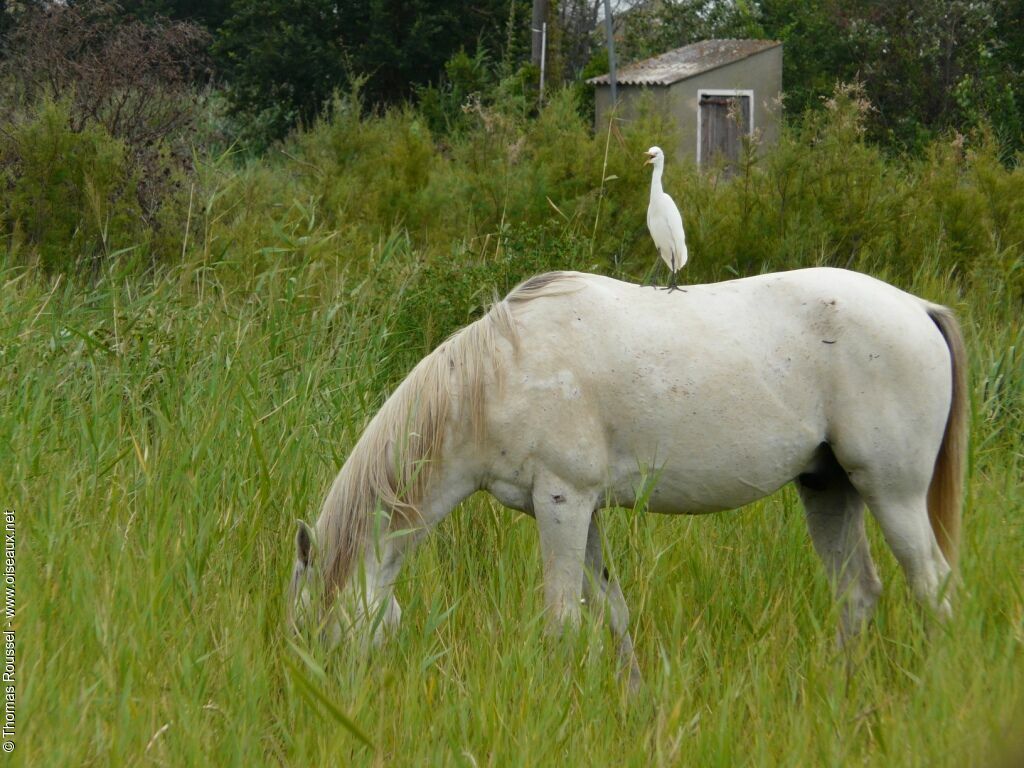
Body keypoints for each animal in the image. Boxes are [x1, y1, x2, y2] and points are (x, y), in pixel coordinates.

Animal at [288, 268, 966, 684]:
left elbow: (563, 619)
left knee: (933, 587)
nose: (344, 697)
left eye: (320, 632)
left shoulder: (562, 502)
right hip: (828, 491)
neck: (496, 378)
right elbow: (612, 612)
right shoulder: (580, 511)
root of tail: (917, 308)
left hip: (893, 494)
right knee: (858, 593)